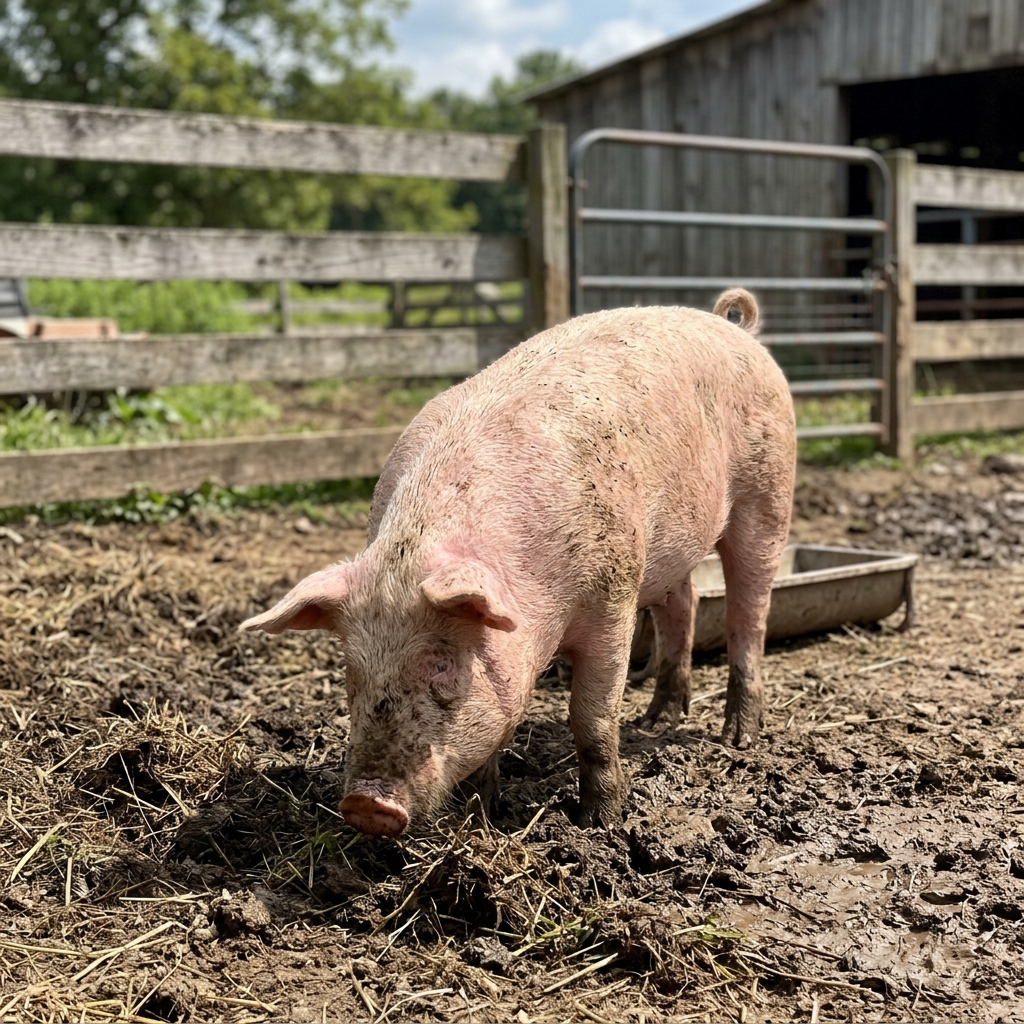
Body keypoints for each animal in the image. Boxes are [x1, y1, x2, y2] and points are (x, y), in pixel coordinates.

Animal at [240, 289, 796, 837]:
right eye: (351, 672)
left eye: (442, 663)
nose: (366, 804)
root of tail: (732, 326)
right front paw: (479, 814)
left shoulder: (613, 597)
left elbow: (591, 717)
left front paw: (600, 823)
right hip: (670, 551)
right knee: (685, 602)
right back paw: (656, 721)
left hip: (767, 493)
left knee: (749, 613)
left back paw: (739, 737)